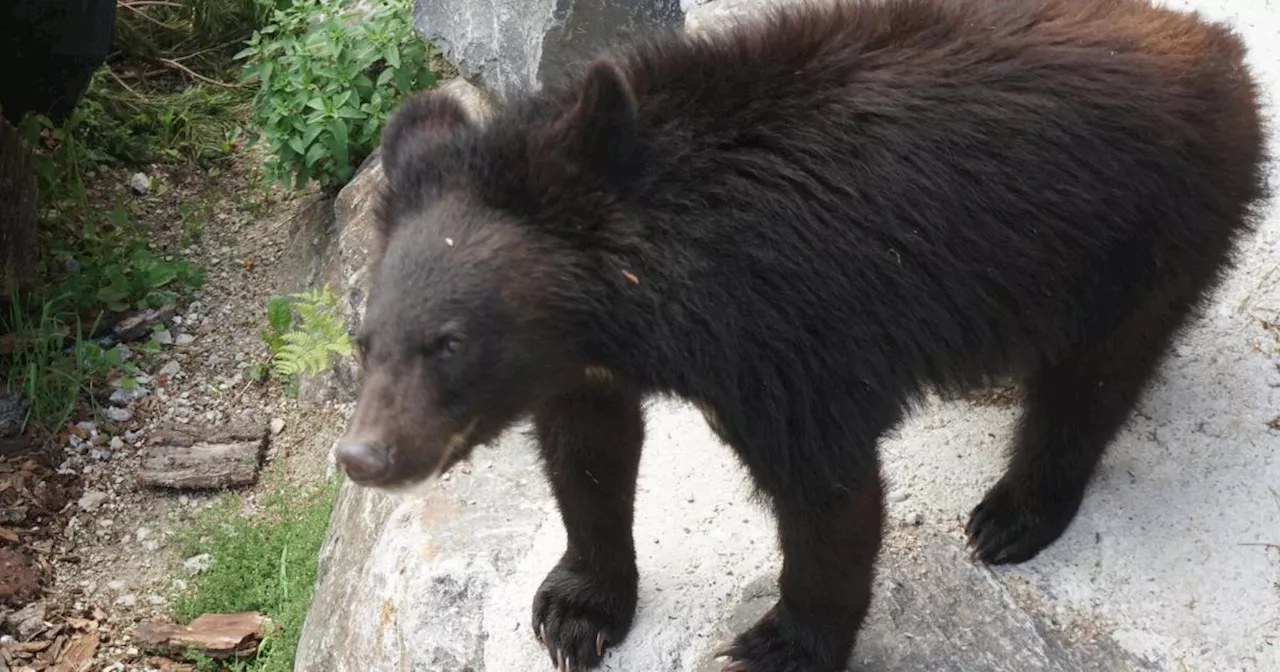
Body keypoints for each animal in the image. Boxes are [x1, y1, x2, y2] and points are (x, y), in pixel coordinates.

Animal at [332, 0, 1269, 665]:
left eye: (449, 342)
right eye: (364, 342)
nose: (364, 457)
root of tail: (1225, 51)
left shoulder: (786, 330)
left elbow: (825, 491)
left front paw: (776, 645)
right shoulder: (583, 365)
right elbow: (587, 455)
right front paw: (577, 611)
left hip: (1141, 236)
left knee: (1091, 383)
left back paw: (1014, 513)